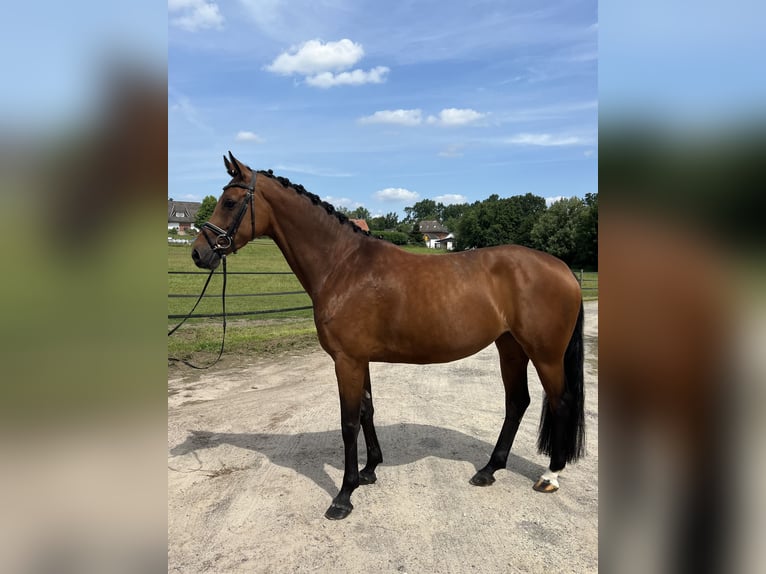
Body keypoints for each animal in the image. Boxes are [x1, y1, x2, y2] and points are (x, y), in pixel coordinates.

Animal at [192, 153, 588, 520]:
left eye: (230, 202)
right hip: (510, 347)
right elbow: (367, 410)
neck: (342, 265)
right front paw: (369, 470)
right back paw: (489, 469)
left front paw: (344, 495)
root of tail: (564, 269)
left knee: (560, 401)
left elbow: (348, 422)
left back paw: (550, 475)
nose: (199, 253)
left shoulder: (347, 361)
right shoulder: (359, 359)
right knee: (517, 402)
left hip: (545, 354)